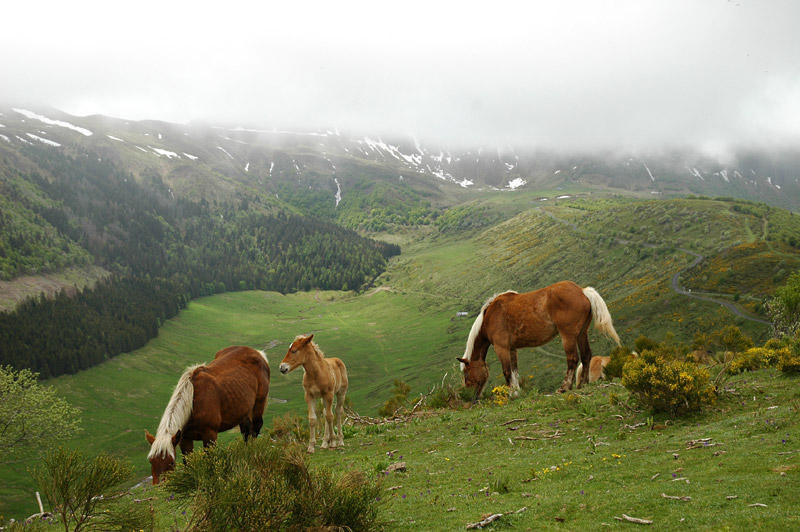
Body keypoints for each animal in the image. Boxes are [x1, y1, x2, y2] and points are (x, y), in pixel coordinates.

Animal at [144, 348, 268, 484]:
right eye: (151, 461)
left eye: (171, 462)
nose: (159, 486)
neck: (193, 400)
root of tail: (257, 352)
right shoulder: (184, 439)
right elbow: (188, 462)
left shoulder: (210, 435)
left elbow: (210, 461)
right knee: (246, 430)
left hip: (258, 404)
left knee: (255, 428)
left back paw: (251, 453)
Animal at [456, 282, 620, 400]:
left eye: (466, 374)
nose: (471, 396)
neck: (490, 315)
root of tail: (582, 291)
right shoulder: (512, 348)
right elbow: (515, 371)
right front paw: (517, 391)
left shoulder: (501, 347)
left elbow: (507, 371)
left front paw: (511, 394)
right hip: (581, 333)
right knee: (586, 356)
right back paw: (582, 384)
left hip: (568, 334)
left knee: (573, 358)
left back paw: (564, 387)